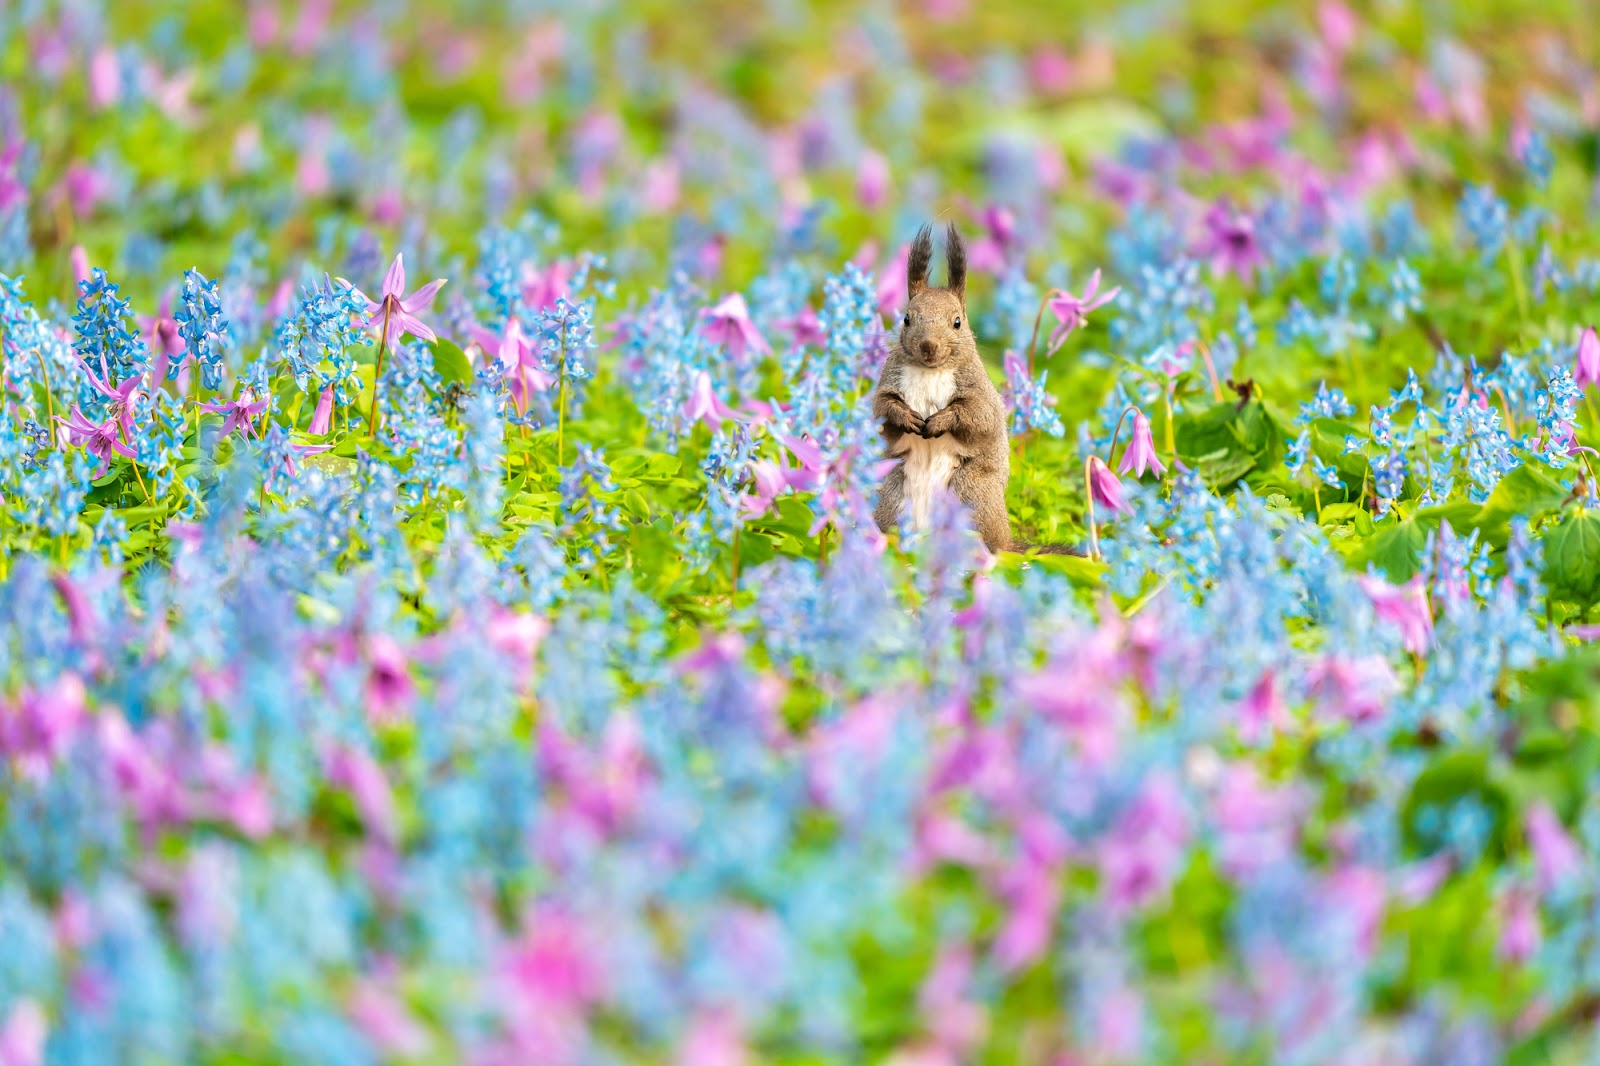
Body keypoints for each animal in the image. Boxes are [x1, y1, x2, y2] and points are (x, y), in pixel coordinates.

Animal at [870, 222, 1081, 557]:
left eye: (957, 322)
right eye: (906, 319)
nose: (928, 346)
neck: (930, 371)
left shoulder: (979, 391)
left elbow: (977, 416)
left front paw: (940, 421)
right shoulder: (889, 382)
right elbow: (882, 407)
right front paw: (905, 417)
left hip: (970, 496)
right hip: (891, 495)